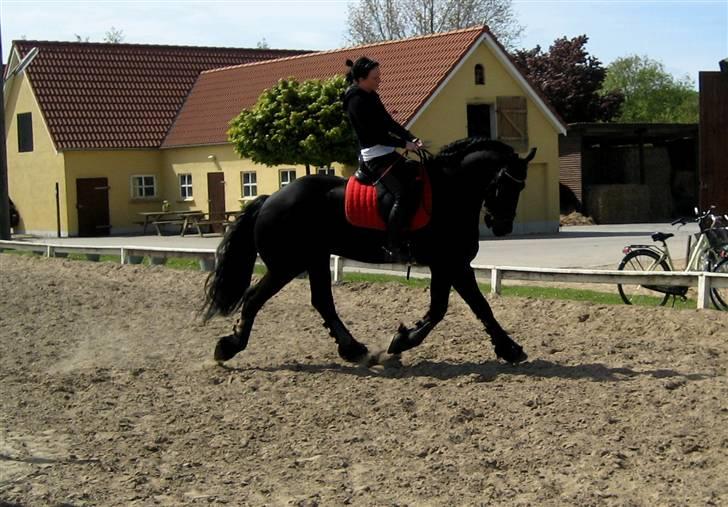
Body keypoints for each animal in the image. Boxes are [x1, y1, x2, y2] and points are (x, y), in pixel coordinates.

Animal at [203, 140, 536, 366]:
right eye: (505, 184)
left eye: (521, 187)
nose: (502, 226)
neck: (449, 192)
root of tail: (270, 199)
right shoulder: (452, 263)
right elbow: (472, 307)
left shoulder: (449, 266)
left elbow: (450, 308)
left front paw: (403, 339)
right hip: (287, 265)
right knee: (254, 298)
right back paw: (229, 346)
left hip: (314, 259)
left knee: (322, 301)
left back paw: (353, 349)